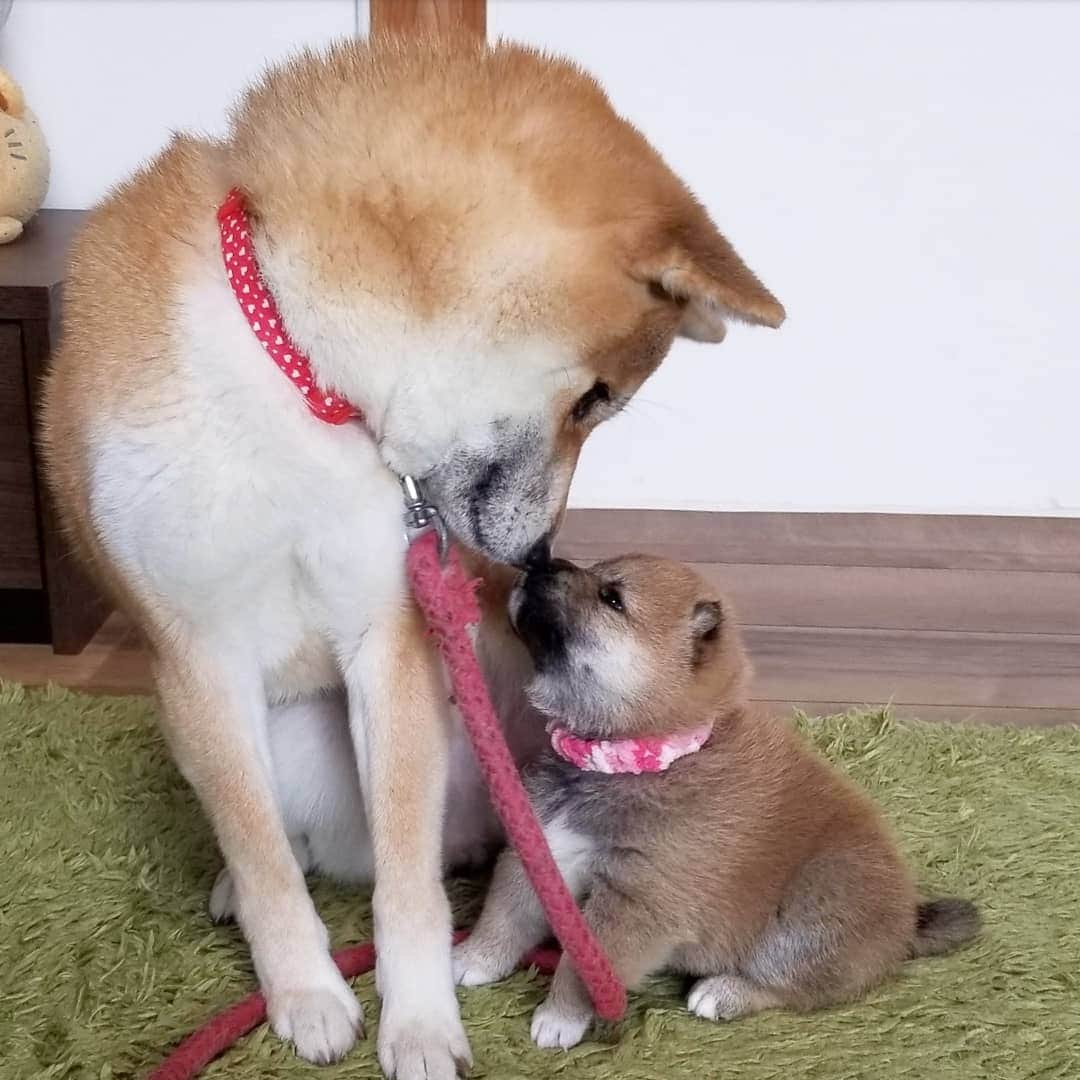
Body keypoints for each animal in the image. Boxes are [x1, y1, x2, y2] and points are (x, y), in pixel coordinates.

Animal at [42, 38, 786, 1075]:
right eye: (598, 399)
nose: (544, 552)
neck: (296, 370)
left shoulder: (388, 638)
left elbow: (406, 886)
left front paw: (424, 1020)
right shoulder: (200, 655)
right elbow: (267, 865)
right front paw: (307, 992)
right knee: (276, 841)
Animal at [451, 561, 976, 1049]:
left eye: (611, 598)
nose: (539, 561)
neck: (632, 760)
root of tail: (906, 926)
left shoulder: (636, 902)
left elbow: (585, 970)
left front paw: (560, 1017)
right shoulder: (541, 849)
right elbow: (504, 915)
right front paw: (473, 959)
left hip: (809, 914)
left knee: (792, 988)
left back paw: (724, 993)